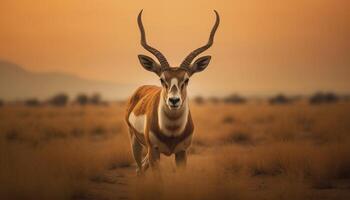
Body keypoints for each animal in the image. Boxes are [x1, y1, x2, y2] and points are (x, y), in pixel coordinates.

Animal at [125, 9, 219, 175]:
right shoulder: (154, 151)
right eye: (162, 79)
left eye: (186, 79)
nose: (174, 100)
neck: (171, 132)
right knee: (139, 170)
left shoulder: (182, 152)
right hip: (136, 143)